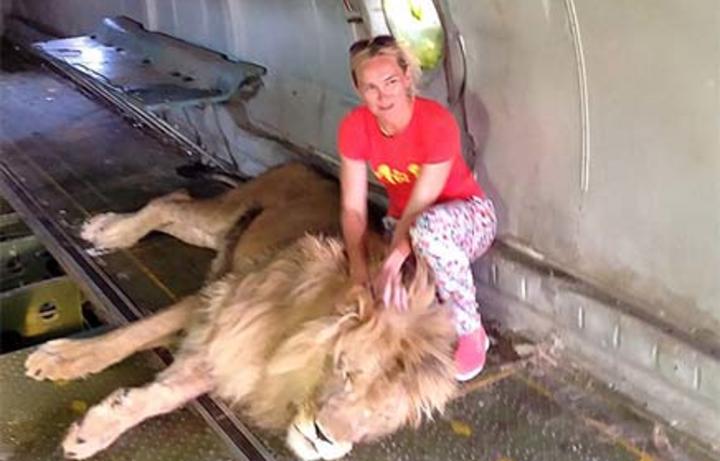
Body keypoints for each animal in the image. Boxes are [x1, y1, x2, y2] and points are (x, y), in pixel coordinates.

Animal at [24, 163, 458, 460]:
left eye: (379, 418)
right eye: (345, 369)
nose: (325, 440)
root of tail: (311, 169)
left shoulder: (235, 354)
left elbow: (166, 395)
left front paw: (94, 430)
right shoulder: (214, 300)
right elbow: (131, 336)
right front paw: (61, 358)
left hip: (215, 234)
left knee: (176, 203)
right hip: (220, 217)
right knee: (170, 201)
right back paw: (110, 231)